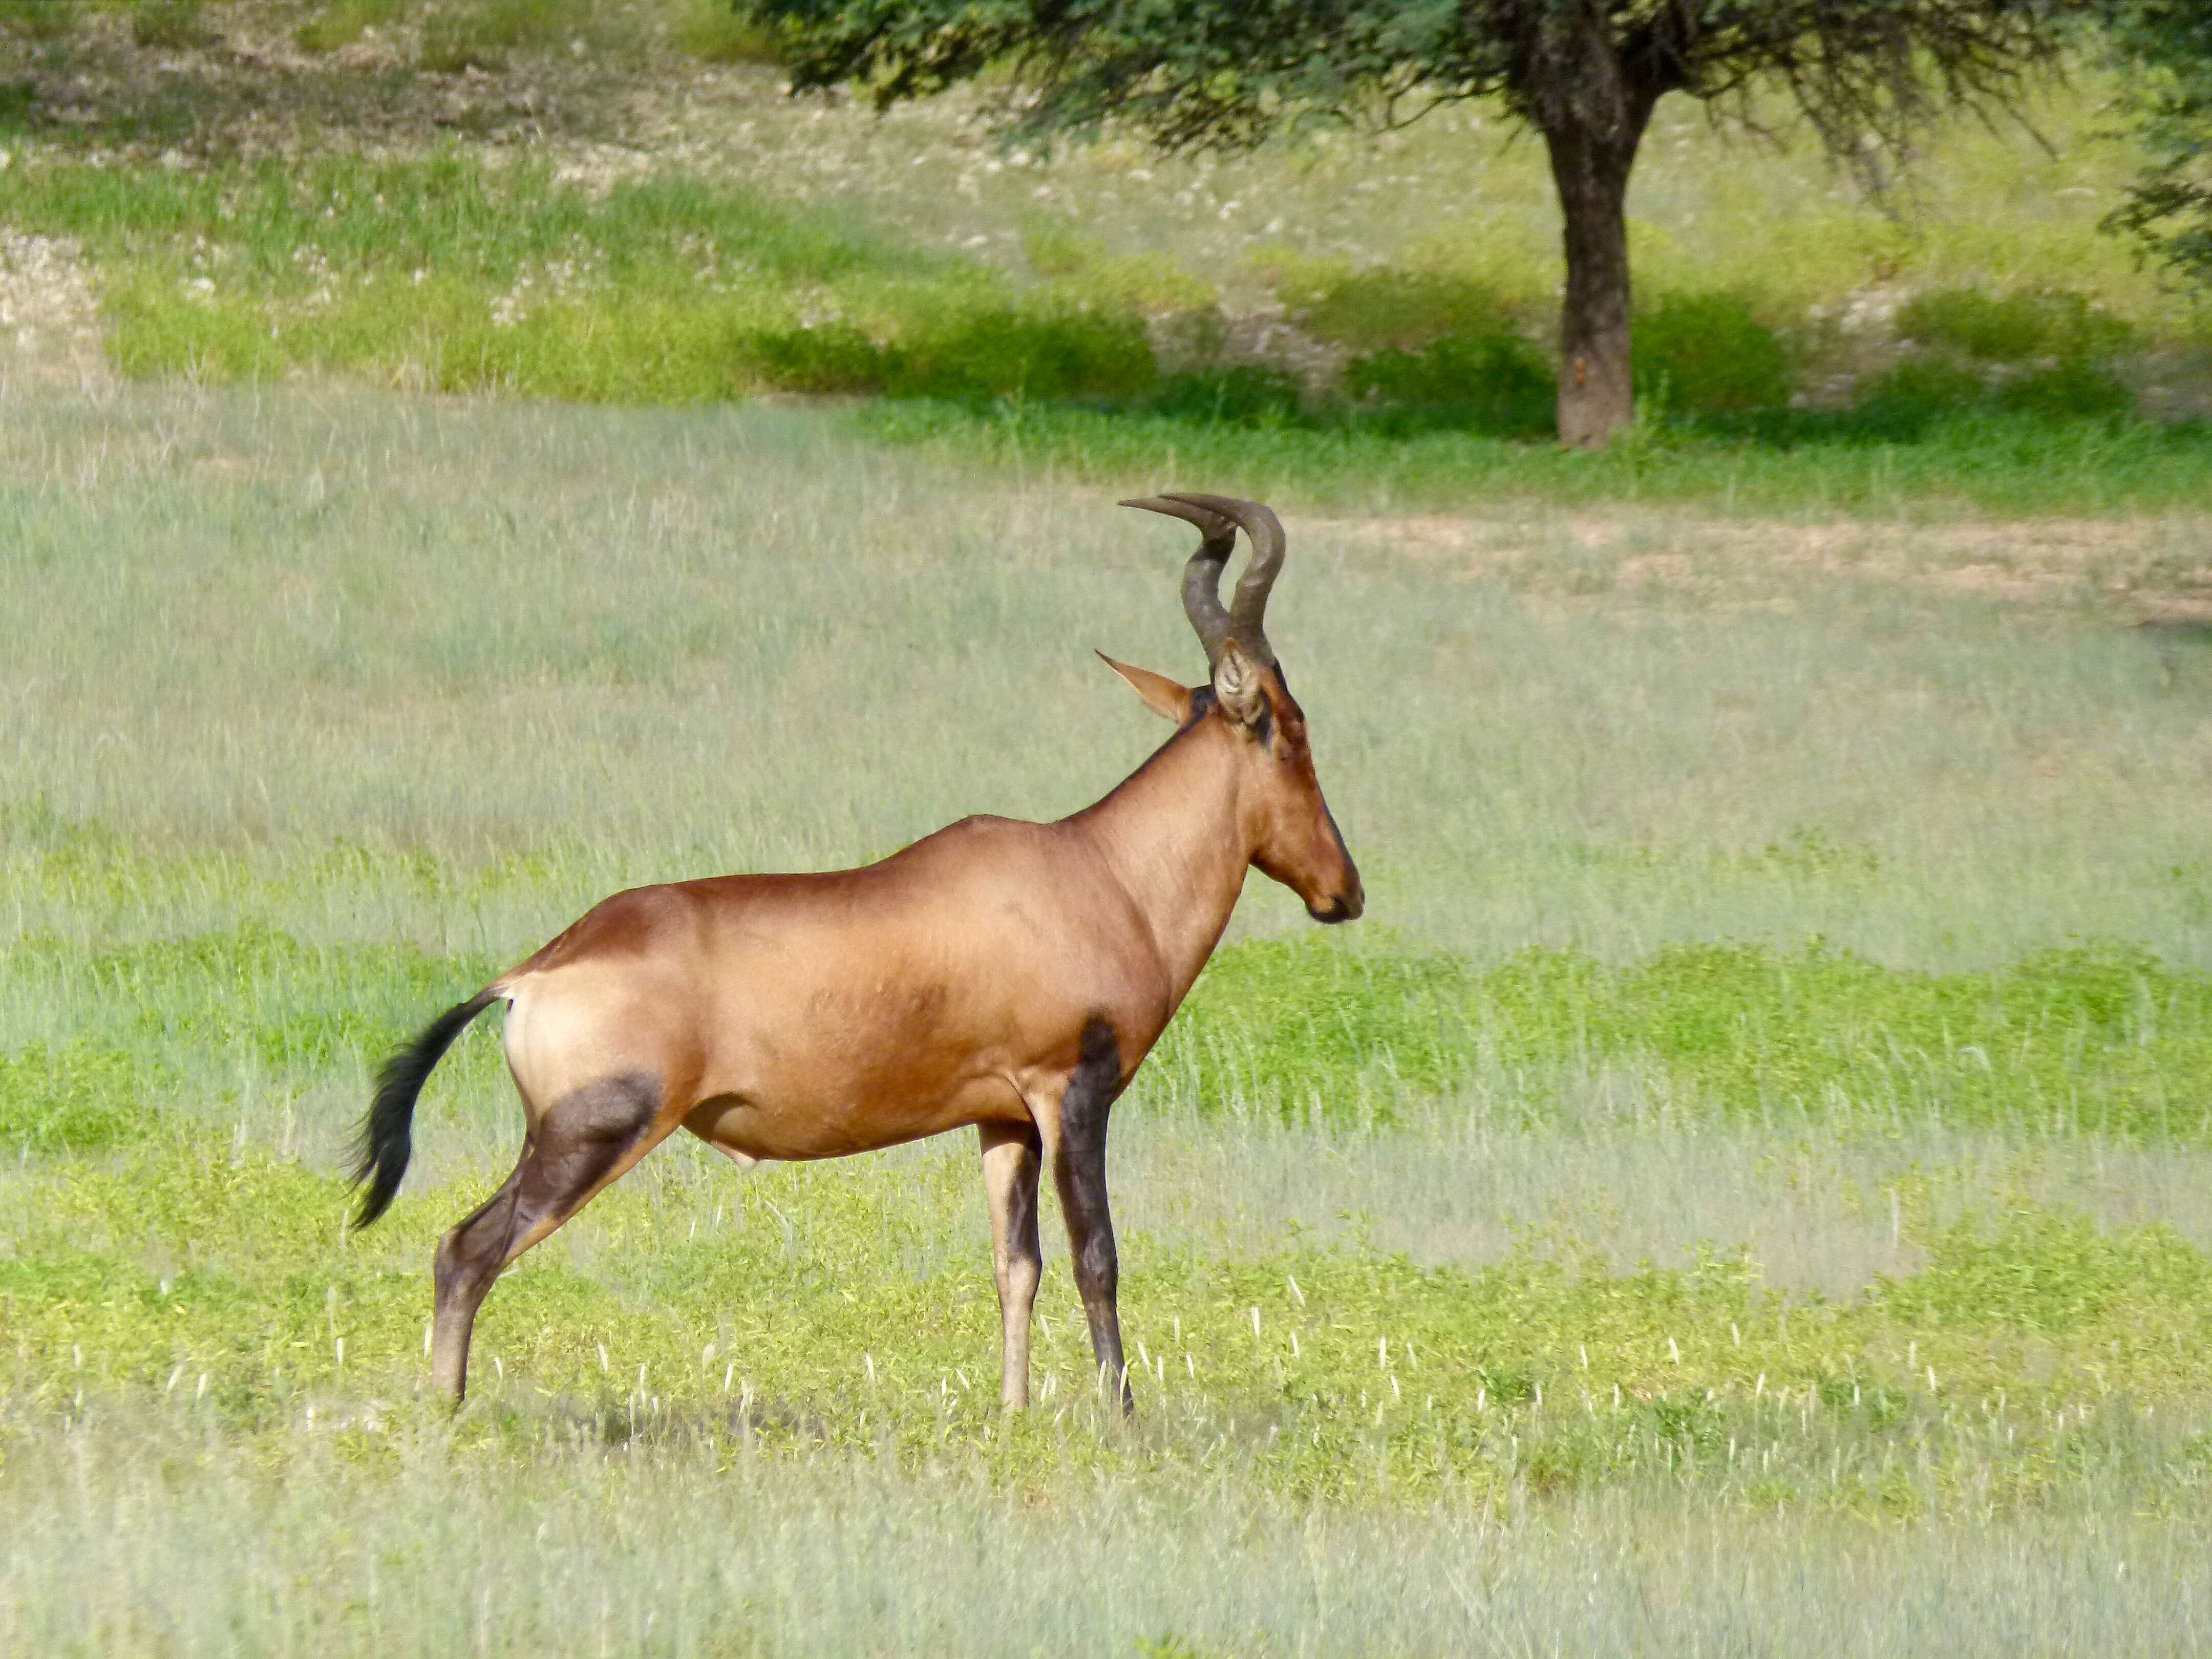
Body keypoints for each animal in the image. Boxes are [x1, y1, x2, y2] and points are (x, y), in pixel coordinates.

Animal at [347, 493, 1353, 1415]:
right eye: (1292, 728)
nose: (1344, 892)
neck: (1093, 867)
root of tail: (532, 972)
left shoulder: (1006, 1119)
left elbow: (1016, 1265)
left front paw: (1015, 1414)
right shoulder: (1073, 1092)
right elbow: (1096, 1258)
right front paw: (1122, 1425)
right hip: (593, 1132)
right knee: (466, 1248)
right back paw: (447, 1415)